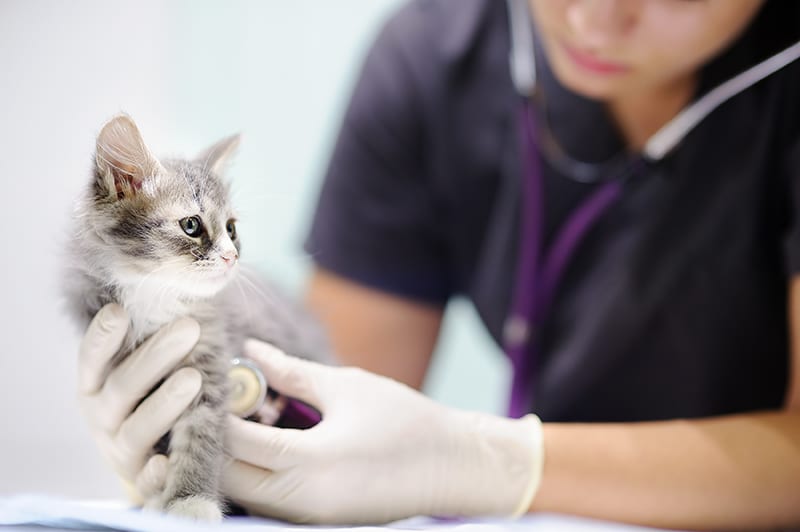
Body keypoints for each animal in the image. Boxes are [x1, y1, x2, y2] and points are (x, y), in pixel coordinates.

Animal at [62, 115, 332, 520]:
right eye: (191, 225)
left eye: (232, 229)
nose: (231, 257)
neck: (157, 298)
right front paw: (158, 492)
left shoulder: (210, 360)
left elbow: (199, 440)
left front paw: (190, 501)